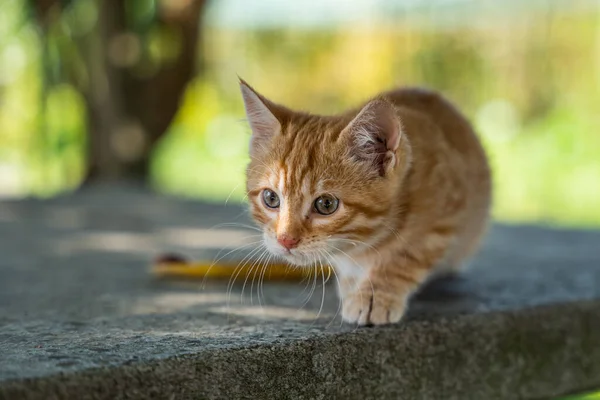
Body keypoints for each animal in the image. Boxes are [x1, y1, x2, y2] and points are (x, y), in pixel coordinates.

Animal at [239, 78, 492, 324]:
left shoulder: (446, 215)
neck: (364, 243)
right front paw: (351, 285)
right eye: (271, 198)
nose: (285, 240)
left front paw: (374, 294)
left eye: (326, 204)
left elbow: (405, 255)